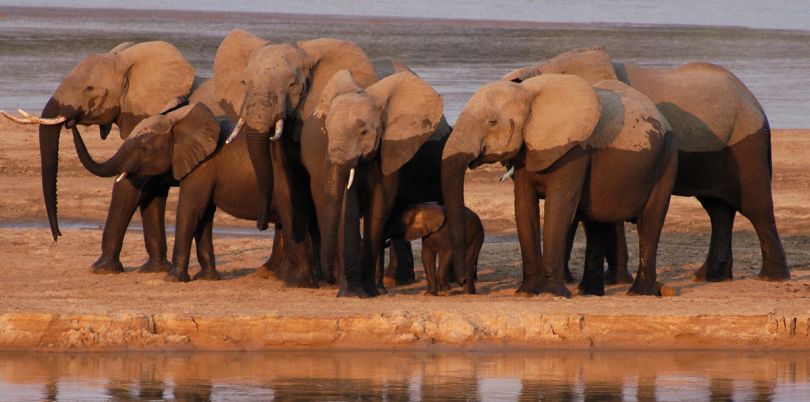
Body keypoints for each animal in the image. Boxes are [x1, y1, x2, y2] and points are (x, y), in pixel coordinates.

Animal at [0, 40, 205, 274]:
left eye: (89, 88)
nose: (58, 235)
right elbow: (151, 190)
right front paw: (154, 269)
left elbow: (130, 184)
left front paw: (101, 268)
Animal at [67, 103, 288, 286]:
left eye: (143, 147)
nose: (70, 121)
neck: (178, 119)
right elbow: (203, 214)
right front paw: (206, 278)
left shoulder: (203, 166)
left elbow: (191, 209)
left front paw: (172, 278)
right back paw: (270, 274)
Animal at [300, 68, 446, 296]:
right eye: (327, 131)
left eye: (363, 132)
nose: (329, 280)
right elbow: (346, 209)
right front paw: (350, 294)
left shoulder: (390, 149)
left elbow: (379, 207)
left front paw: (367, 293)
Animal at [442, 74, 676, 296]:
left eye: (492, 122)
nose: (462, 280)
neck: (527, 92)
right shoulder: (527, 151)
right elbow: (524, 206)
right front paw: (527, 292)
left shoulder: (574, 151)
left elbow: (559, 206)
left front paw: (550, 293)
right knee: (597, 223)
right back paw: (588, 293)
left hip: (665, 160)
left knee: (650, 222)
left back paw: (638, 292)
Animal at [502, 45, 784, 282]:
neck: (543, 69)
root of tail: (754, 102)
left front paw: (607, 281)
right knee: (718, 210)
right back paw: (709, 277)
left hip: (747, 144)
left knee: (755, 206)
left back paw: (770, 277)